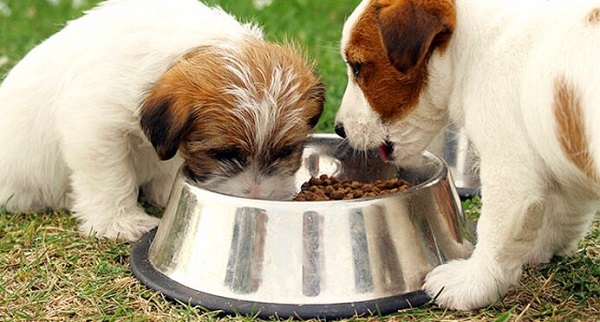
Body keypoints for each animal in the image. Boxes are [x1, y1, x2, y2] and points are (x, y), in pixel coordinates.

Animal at [0, 0, 324, 242]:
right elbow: (110, 178)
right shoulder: (95, 125)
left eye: (287, 151)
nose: (259, 196)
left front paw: (165, 192)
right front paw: (121, 222)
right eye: (222, 154)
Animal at [336, 0, 600, 310]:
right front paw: (538, 248)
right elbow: (562, 212)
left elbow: (495, 233)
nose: (338, 129)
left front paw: (470, 283)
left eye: (357, 67)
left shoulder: (509, 171)